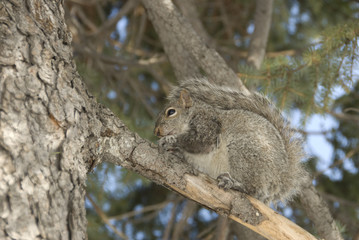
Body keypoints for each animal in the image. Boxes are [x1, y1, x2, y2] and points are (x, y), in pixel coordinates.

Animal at [155, 78, 310, 203]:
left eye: (171, 112)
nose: (156, 132)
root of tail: (282, 176)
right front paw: (174, 151)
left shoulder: (208, 125)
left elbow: (199, 142)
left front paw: (170, 140)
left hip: (243, 152)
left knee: (252, 188)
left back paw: (233, 183)